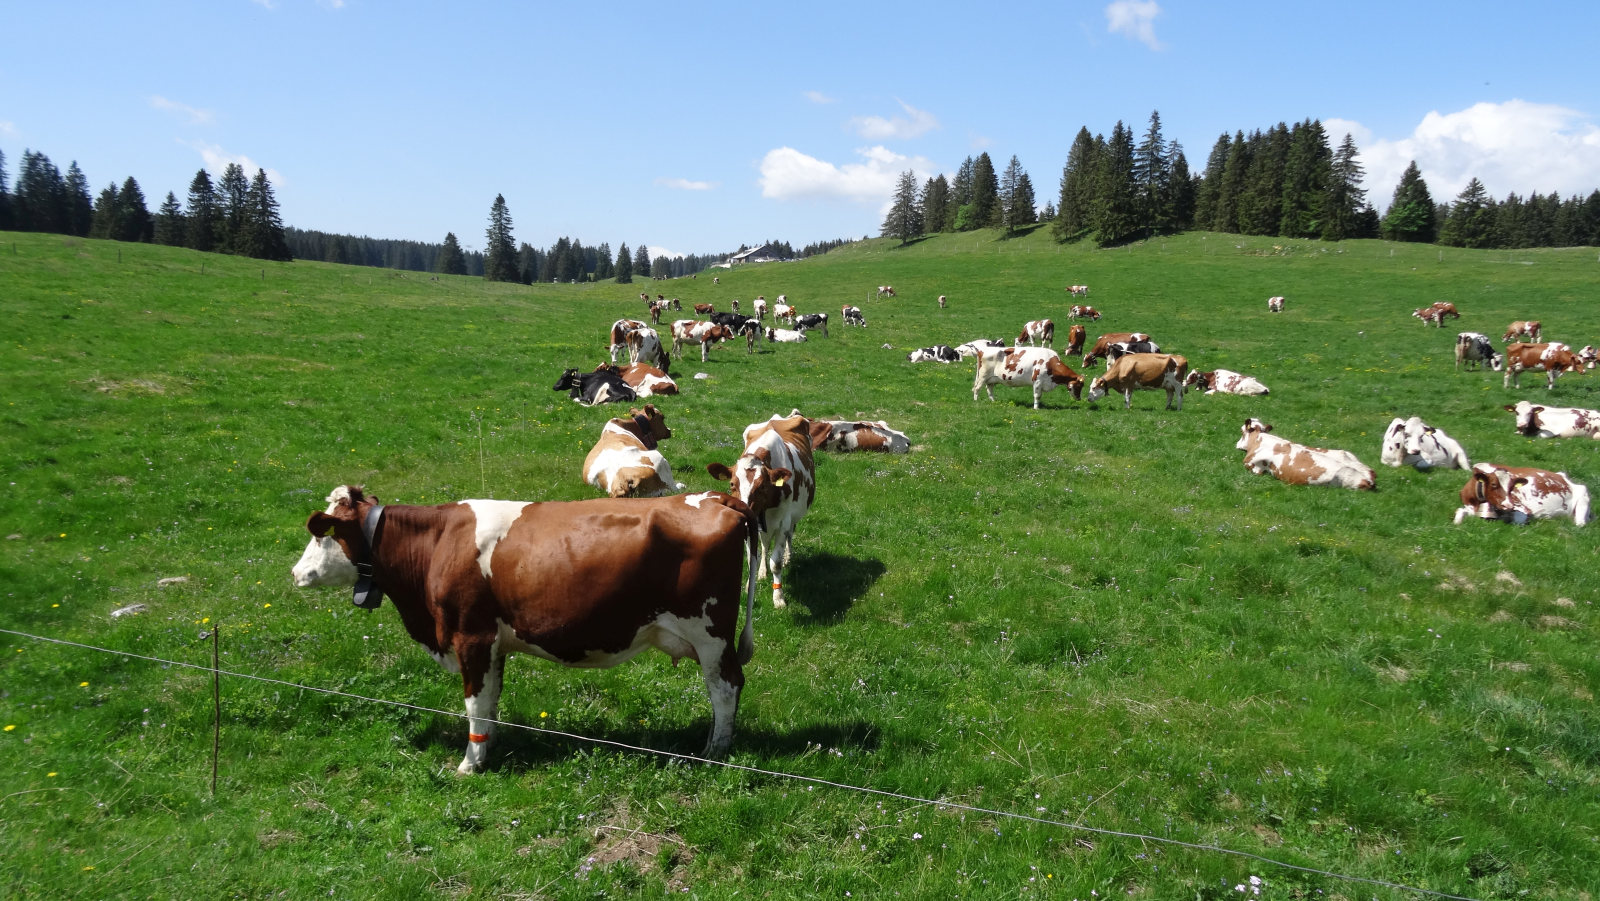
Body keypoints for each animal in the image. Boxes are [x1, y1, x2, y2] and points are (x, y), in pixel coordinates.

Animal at [291, 483, 758, 771]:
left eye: (321, 535)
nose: (296, 573)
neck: (439, 542)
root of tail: (716, 497)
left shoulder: (471, 636)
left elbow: (474, 702)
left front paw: (469, 765)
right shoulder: (493, 643)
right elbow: (491, 700)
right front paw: (487, 747)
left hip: (710, 633)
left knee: (725, 686)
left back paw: (714, 750)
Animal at [710, 412, 819, 611]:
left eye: (762, 486)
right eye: (732, 484)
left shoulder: (783, 521)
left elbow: (776, 563)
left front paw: (778, 597)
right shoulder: (751, 525)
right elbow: (752, 557)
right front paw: (750, 585)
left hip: (792, 517)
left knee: (790, 534)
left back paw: (788, 557)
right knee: (765, 543)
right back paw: (762, 571)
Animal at [1452, 464, 1587, 528]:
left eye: (1512, 487)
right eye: (1494, 484)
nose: (1508, 505)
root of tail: (1562, 476)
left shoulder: (1522, 509)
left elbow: (1517, 520)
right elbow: (1460, 511)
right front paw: (1457, 522)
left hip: (1583, 495)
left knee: (1580, 523)